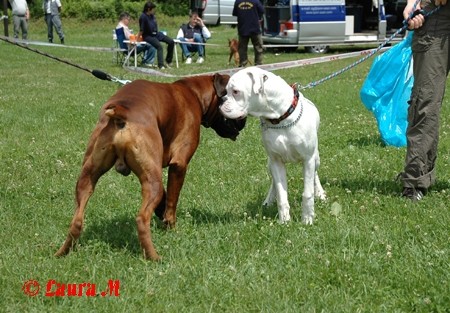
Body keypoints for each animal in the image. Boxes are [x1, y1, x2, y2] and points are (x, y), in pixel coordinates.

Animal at [56, 74, 248, 260]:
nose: (244, 120)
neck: (193, 92)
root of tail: (121, 112)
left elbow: (165, 197)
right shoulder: (179, 165)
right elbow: (172, 201)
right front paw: (170, 226)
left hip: (88, 177)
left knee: (77, 221)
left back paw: (62, 252)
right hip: (152, 180)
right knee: (142, 219)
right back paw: (154, 257)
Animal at [221, 66, 326, 224]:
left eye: (235, 91)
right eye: (226, 91)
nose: (221, 101)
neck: (280, 118)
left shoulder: (308, 159)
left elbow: (307, 193)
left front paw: (307, 219)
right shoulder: (276, 161)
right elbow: (281, 195)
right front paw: (284, 222)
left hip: (316, 159)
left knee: (315, 175)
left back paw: (320, 193)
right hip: (270, 164)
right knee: (274, 184)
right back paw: (269, 200)